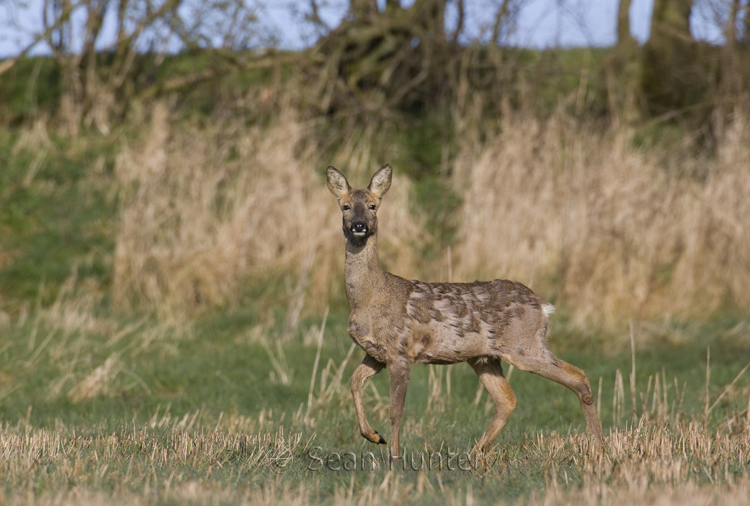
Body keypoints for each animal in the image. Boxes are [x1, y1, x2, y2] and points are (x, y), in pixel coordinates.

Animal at [328, 164, 604, 456]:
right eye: (345, 206)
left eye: (373, 205)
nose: (359, 225)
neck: (371, 297)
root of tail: (541, 305)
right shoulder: (376, 353)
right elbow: (353, 382)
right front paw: (372, 435)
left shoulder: (400, 350)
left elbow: (396, 411)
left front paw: (394, 456)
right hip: (484, 357)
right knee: (507, 399)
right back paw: (475, 453)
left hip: (525, 346)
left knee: (579, 376)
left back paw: (600, 448)